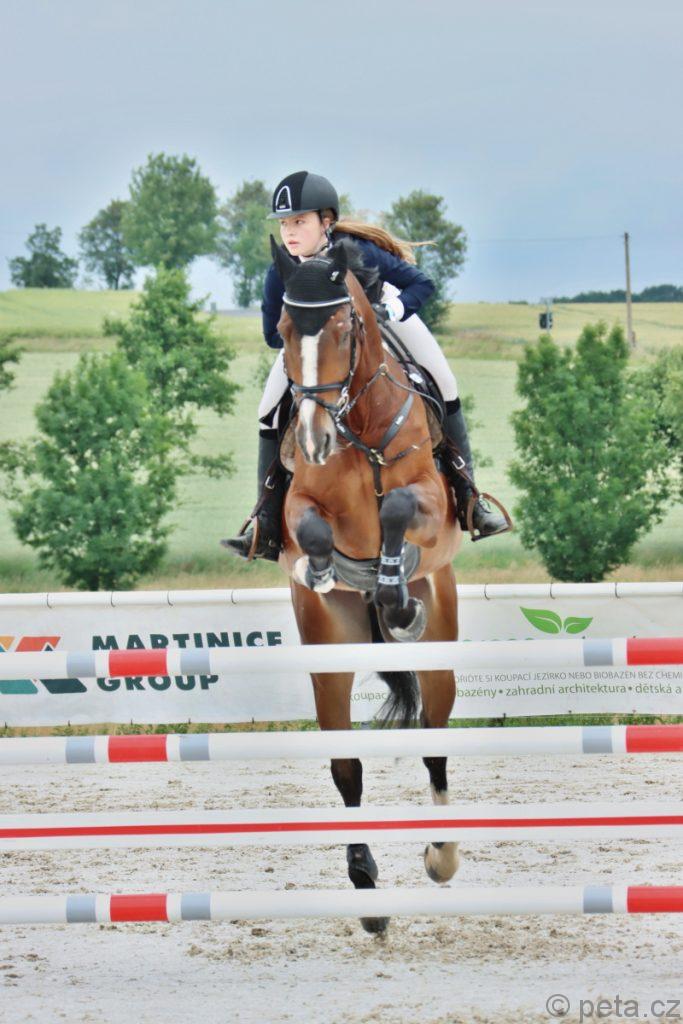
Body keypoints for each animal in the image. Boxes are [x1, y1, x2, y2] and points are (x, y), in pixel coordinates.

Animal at [271, 236, 462, 934]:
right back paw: (366, 886)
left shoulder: (432, 503)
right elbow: (311, 530)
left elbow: (401, 510)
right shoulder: (298, 505)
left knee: (435, 740)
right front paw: (327, 569)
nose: (314, 439)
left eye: (344, 328)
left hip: (441, 651)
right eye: (282, 329)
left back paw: (442, 854)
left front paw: (394, 593)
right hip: (331, 656)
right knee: (346, 766)